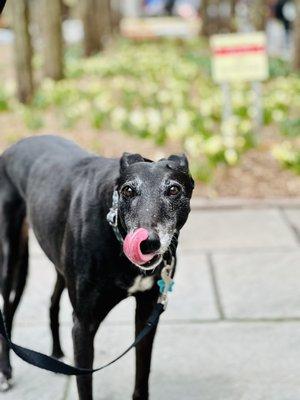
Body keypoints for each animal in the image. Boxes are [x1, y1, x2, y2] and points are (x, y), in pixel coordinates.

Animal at [0, 136, 193, 398]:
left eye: (174, 189)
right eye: (128, 190)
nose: (147, 243)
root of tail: (14, 145)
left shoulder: (147, 314)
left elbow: (142, 378)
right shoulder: (83, 325)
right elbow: (85, 388)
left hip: (58, 263)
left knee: (52, 300)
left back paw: (56, 353)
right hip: (9, 259)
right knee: (7, 310)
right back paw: (6, 371)